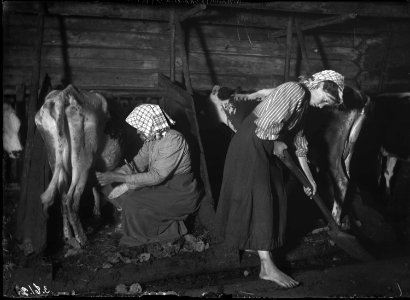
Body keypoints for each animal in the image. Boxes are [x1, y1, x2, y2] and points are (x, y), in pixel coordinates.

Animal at [35, 85, 124, 248]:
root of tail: (64, 93)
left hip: (55, 158)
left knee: (63, 199)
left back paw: (68, 237)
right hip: (82, 160)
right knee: (71, 200)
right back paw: (82, 239)